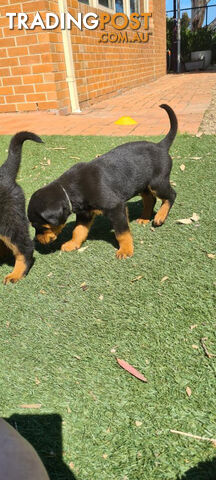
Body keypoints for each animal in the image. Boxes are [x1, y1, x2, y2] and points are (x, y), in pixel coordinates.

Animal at [27, 103, 177, 256]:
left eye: (40, 226)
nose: (37, 241)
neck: (69, 191)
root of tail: (160, 146)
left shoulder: (116, 208)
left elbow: (122, 232)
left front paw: (125, 249)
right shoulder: (84, 213)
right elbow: (78, 230)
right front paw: (72, 244)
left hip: (157, 183)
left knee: (171, 195)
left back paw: (160, 217)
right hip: (143, 184)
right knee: (150, 199)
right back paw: (145, 217)